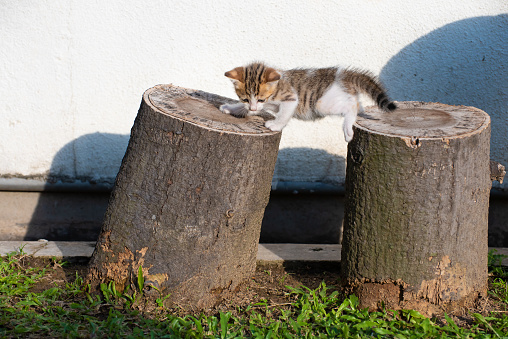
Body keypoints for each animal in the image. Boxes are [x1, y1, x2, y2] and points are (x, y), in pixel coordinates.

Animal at [220, 61, 394, 141]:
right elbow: (244, 108)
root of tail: (343, 74)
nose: (253, 108)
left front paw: (275, 125)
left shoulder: (291, 98)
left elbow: (283, 115)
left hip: (322, 104)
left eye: (261, 98)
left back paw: (347, 129)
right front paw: (230, 108)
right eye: (245, 98)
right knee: (357, 103)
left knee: (352, 106)